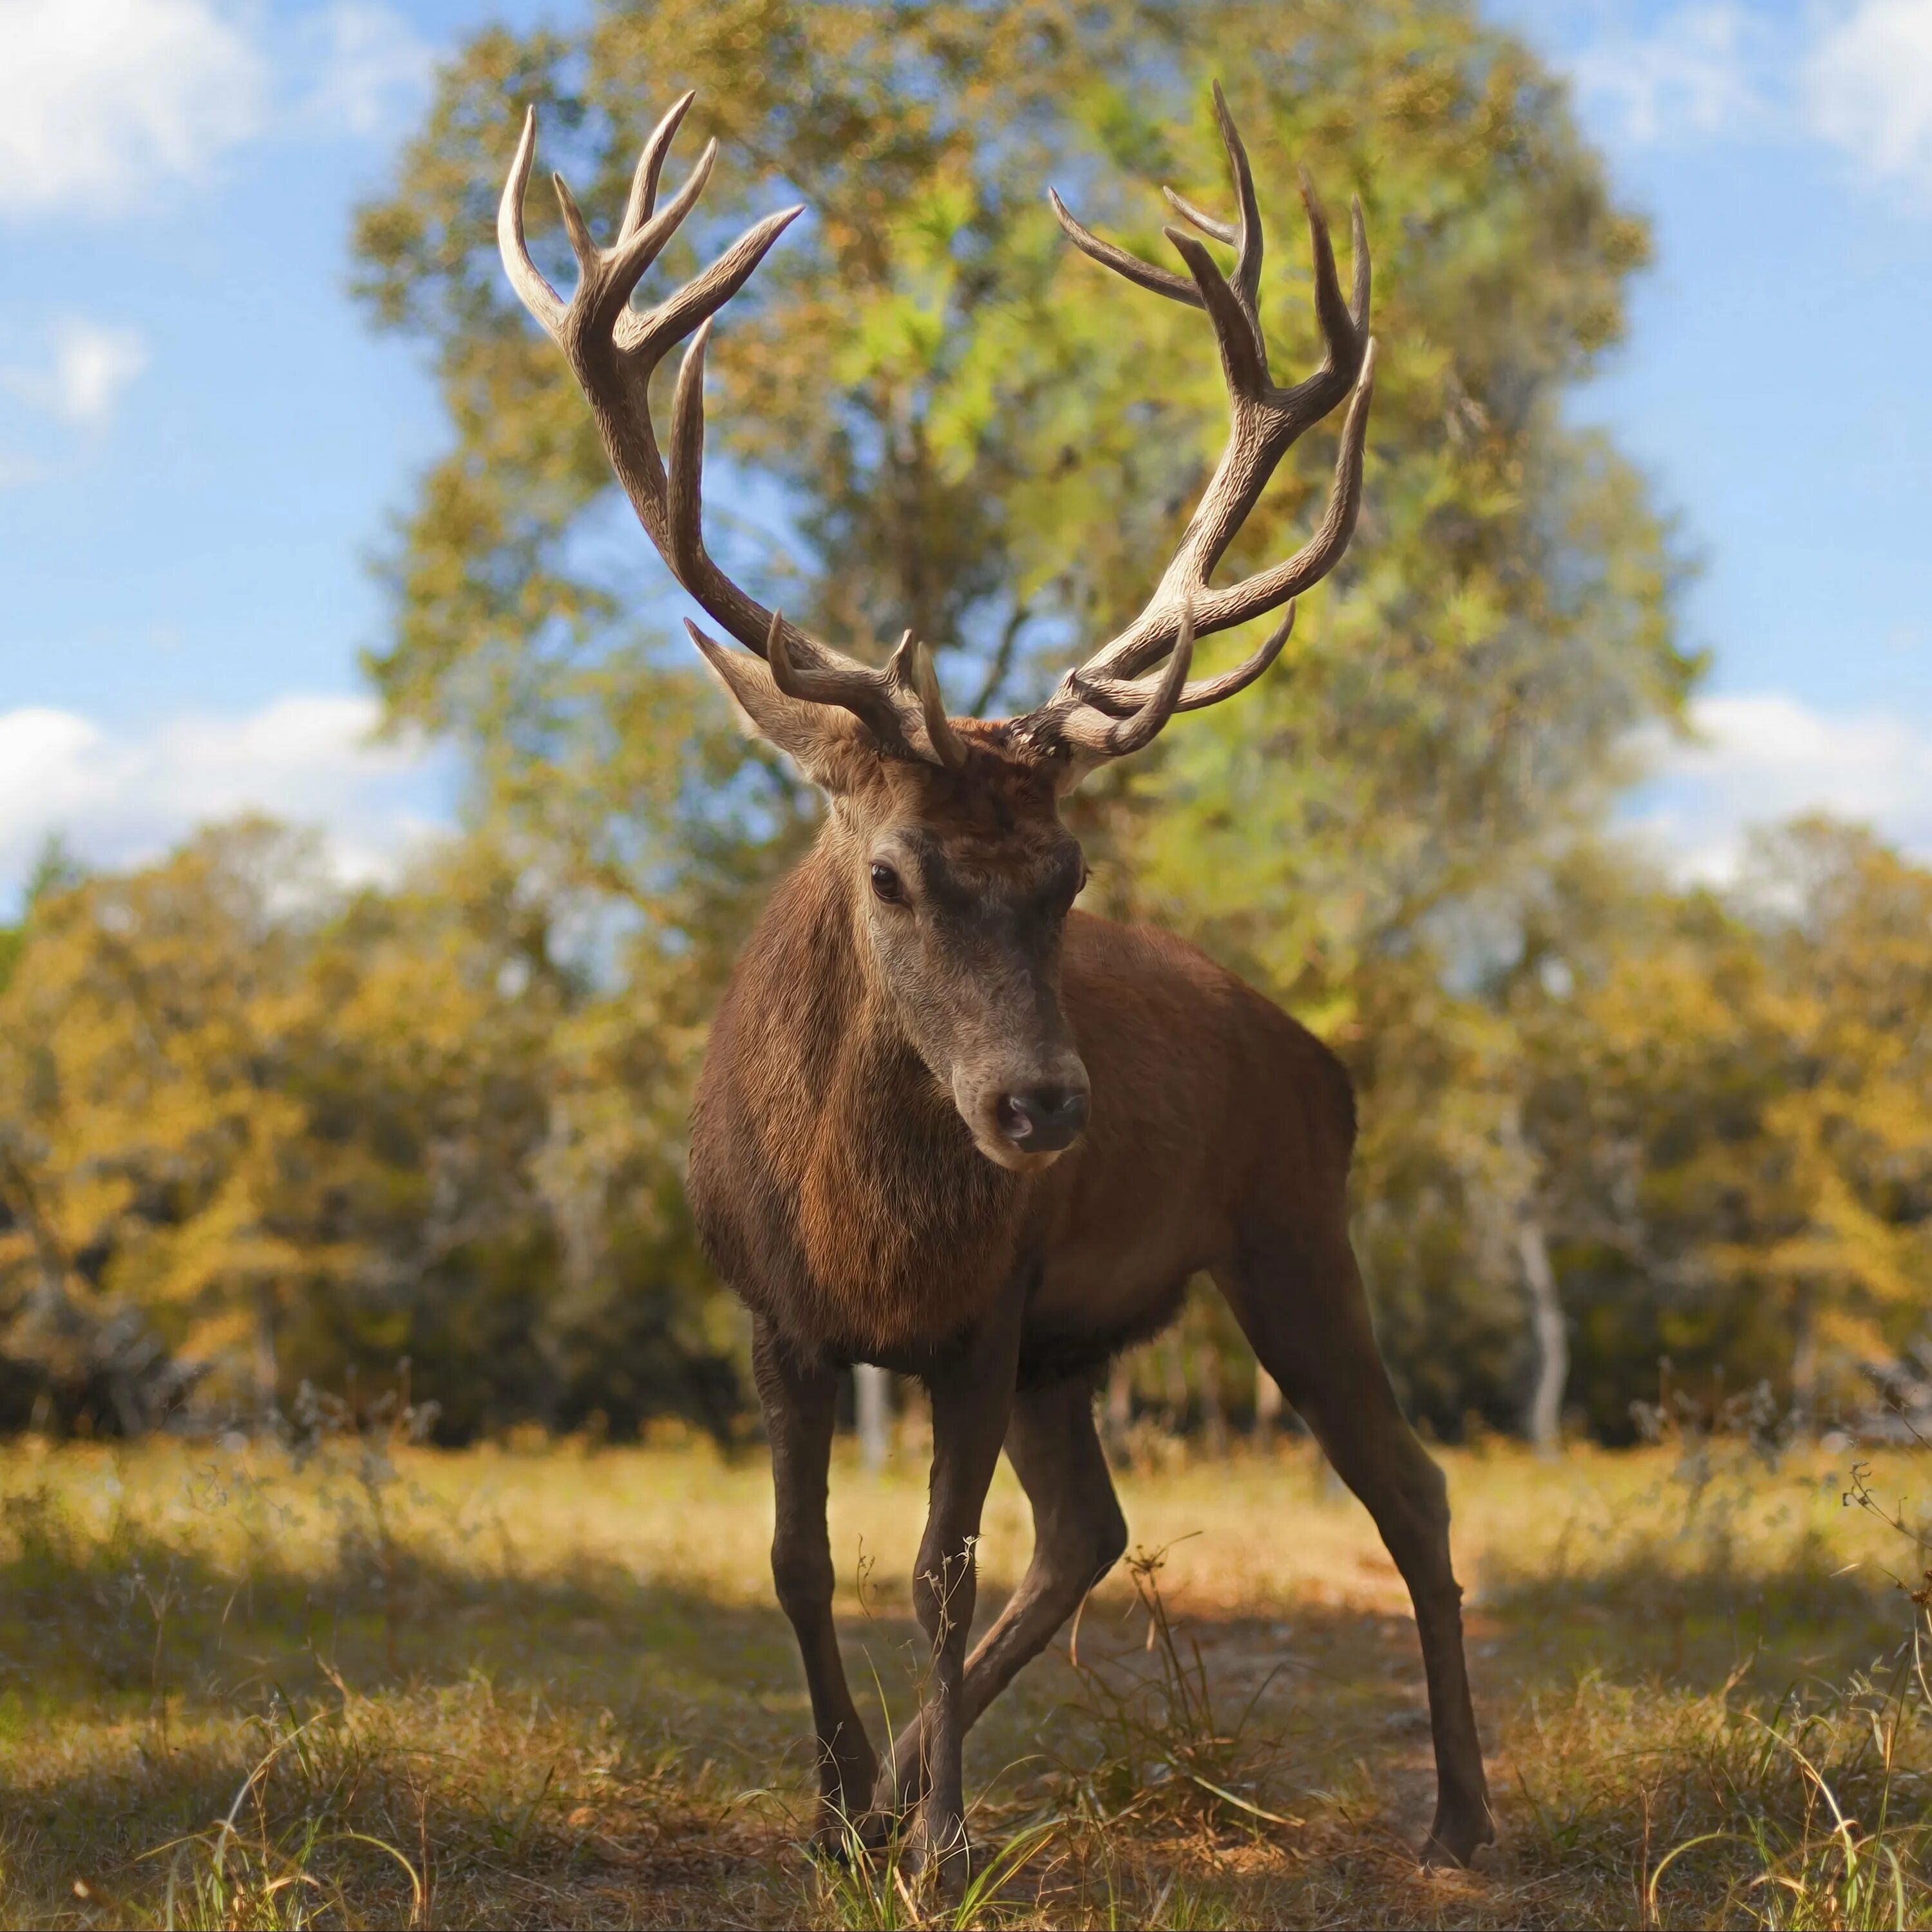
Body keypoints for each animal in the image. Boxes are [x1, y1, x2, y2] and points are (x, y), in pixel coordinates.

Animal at [502, 83, 1492, 1878]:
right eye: (892, 870)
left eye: (1068, 877)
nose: (1041, 1108)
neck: (865, 1239)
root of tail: (1323, 1061)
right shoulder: (775, 1313)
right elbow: (796, 1560)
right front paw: (841, 1808)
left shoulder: (987, 1310)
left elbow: (934, 1573)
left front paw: (945, 1841)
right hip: (1080, 1342)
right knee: (1092, 1528)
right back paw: (903, 1778)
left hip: (1288, 1232)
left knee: (1409, 1486)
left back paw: (1458, 1812)